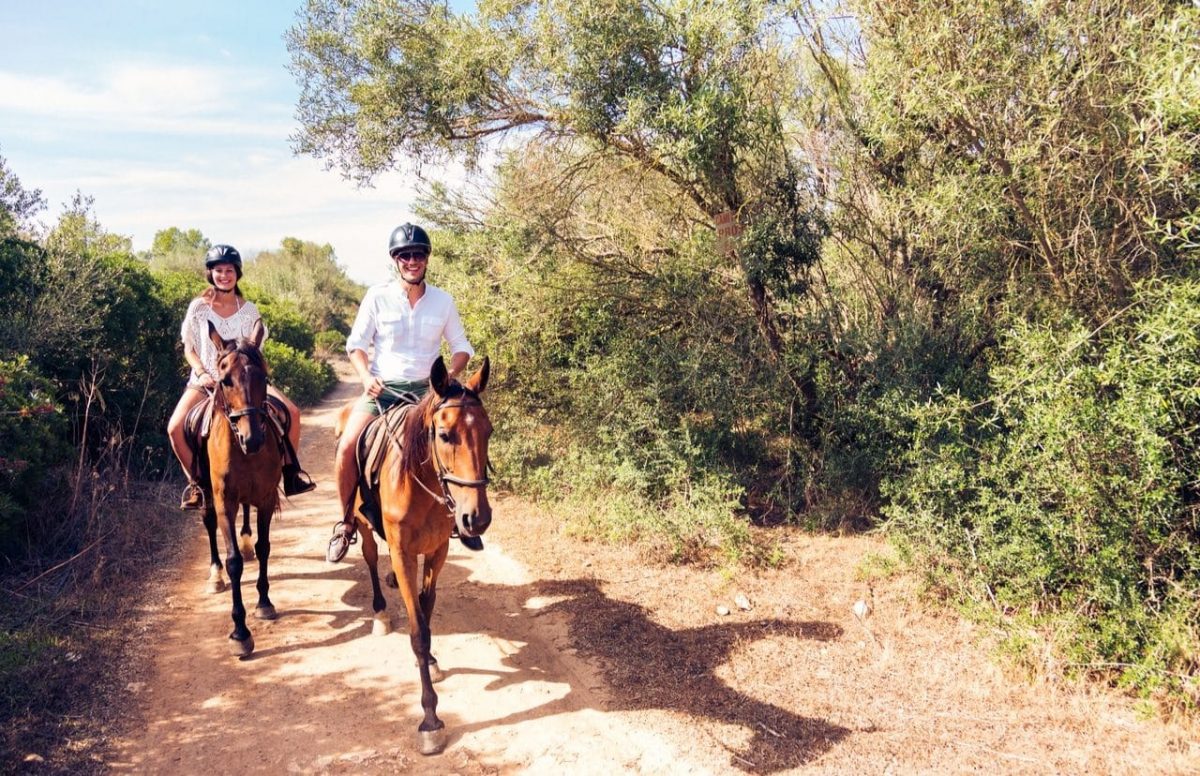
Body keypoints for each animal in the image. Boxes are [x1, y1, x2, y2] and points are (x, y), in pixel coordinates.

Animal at [345, 355, 494, 758]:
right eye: (444, 435)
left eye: (489, 432)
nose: (477, 518)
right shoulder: (403, 552)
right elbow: (418, 631)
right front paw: (430, 719)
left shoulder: (437, 550)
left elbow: (426, 611)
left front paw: (428, 660)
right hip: (362, 524)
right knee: (368, 556)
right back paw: (380, 612)